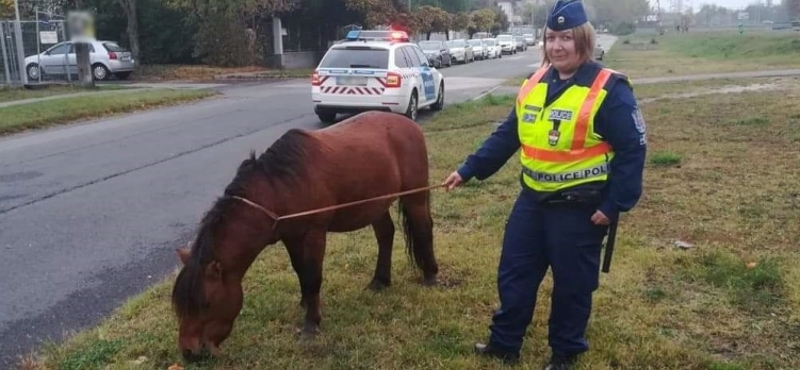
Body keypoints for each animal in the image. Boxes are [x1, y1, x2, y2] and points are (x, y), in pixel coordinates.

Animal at [171, 110, 440, 362]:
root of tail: (409, 124)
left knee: (423, 229)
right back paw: (380, 281)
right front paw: (306, 304)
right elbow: (300, 270)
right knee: (385, 235)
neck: (278, 188)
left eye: (205, 304)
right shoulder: (290, 236)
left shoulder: (314, 234)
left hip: (415, 196)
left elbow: (312, 276)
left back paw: (430, 276)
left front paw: (311, 324)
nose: (188, 352)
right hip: (376, 204)